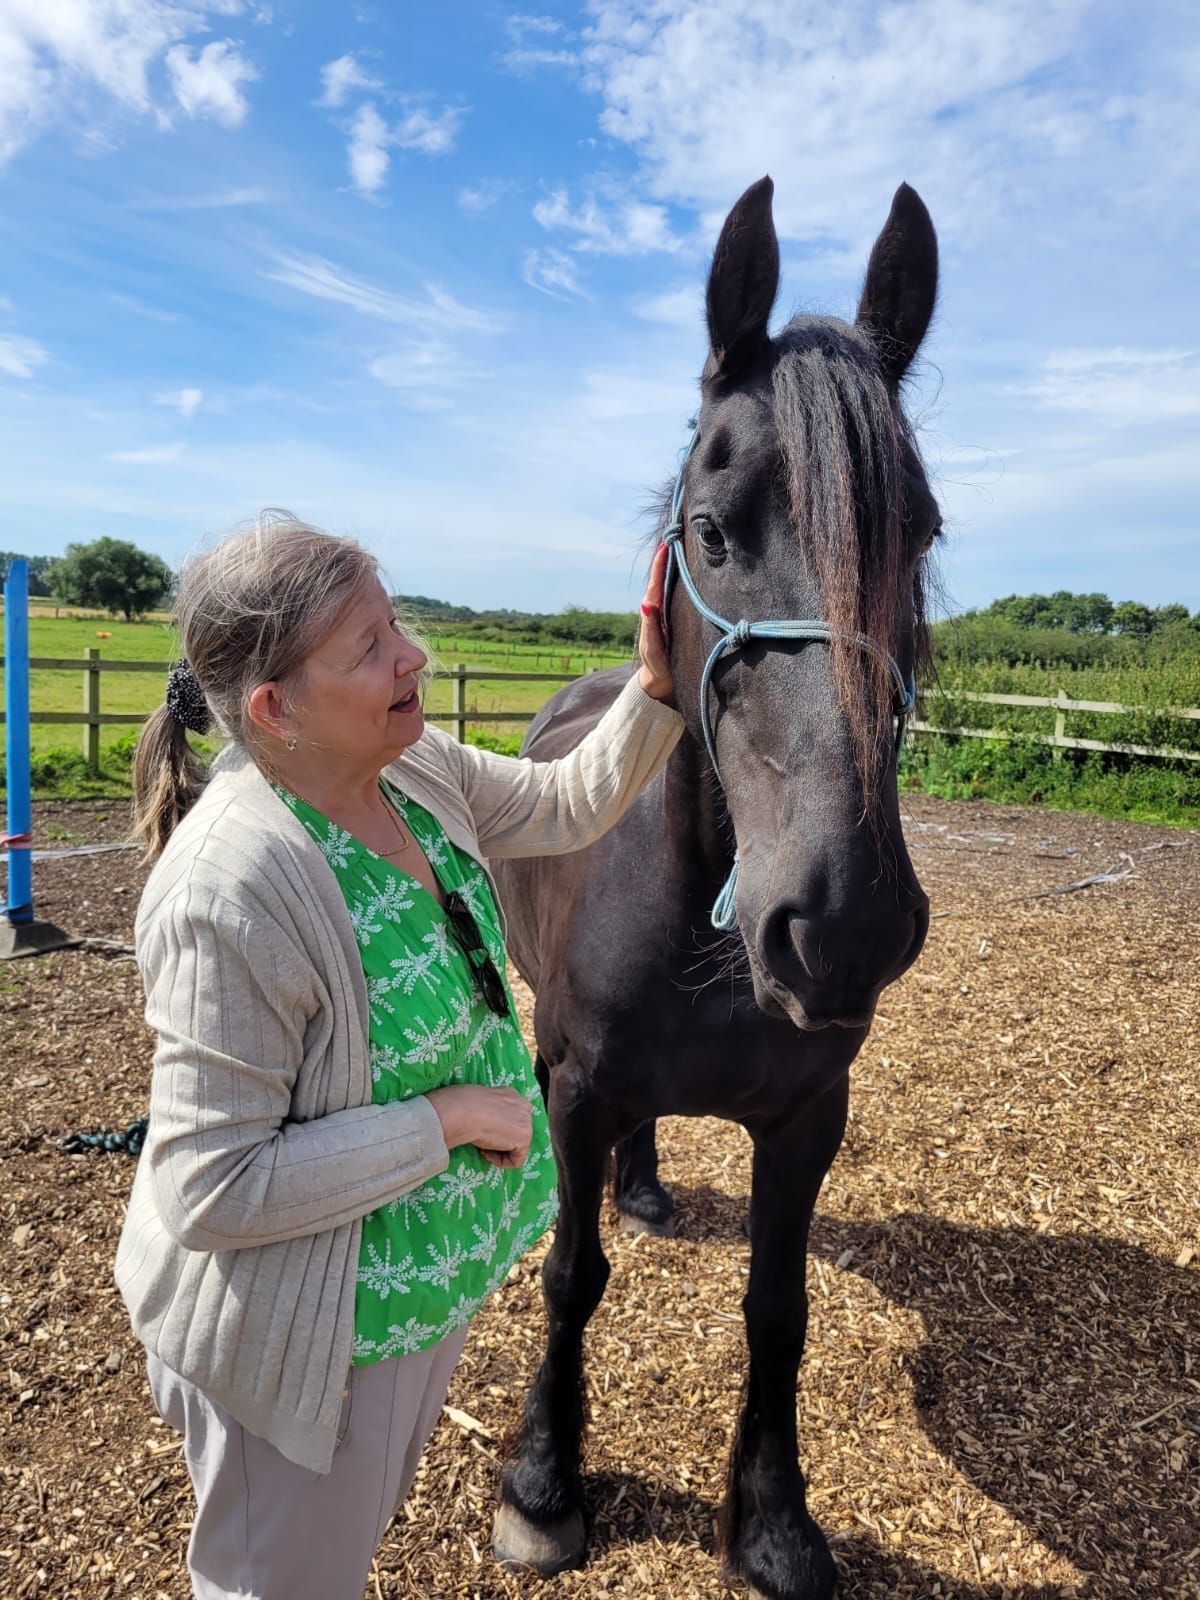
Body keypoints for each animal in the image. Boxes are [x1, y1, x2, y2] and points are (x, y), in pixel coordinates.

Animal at [492, 178, 947, 1600]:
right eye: (709, 531)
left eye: (919, 535)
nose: (842, 922)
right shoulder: (577, 1086)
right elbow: (570, 1275)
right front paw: (546, 1482)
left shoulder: (807, 1115)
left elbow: (777, 1307)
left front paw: (774, 1520)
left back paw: (645, 1183)